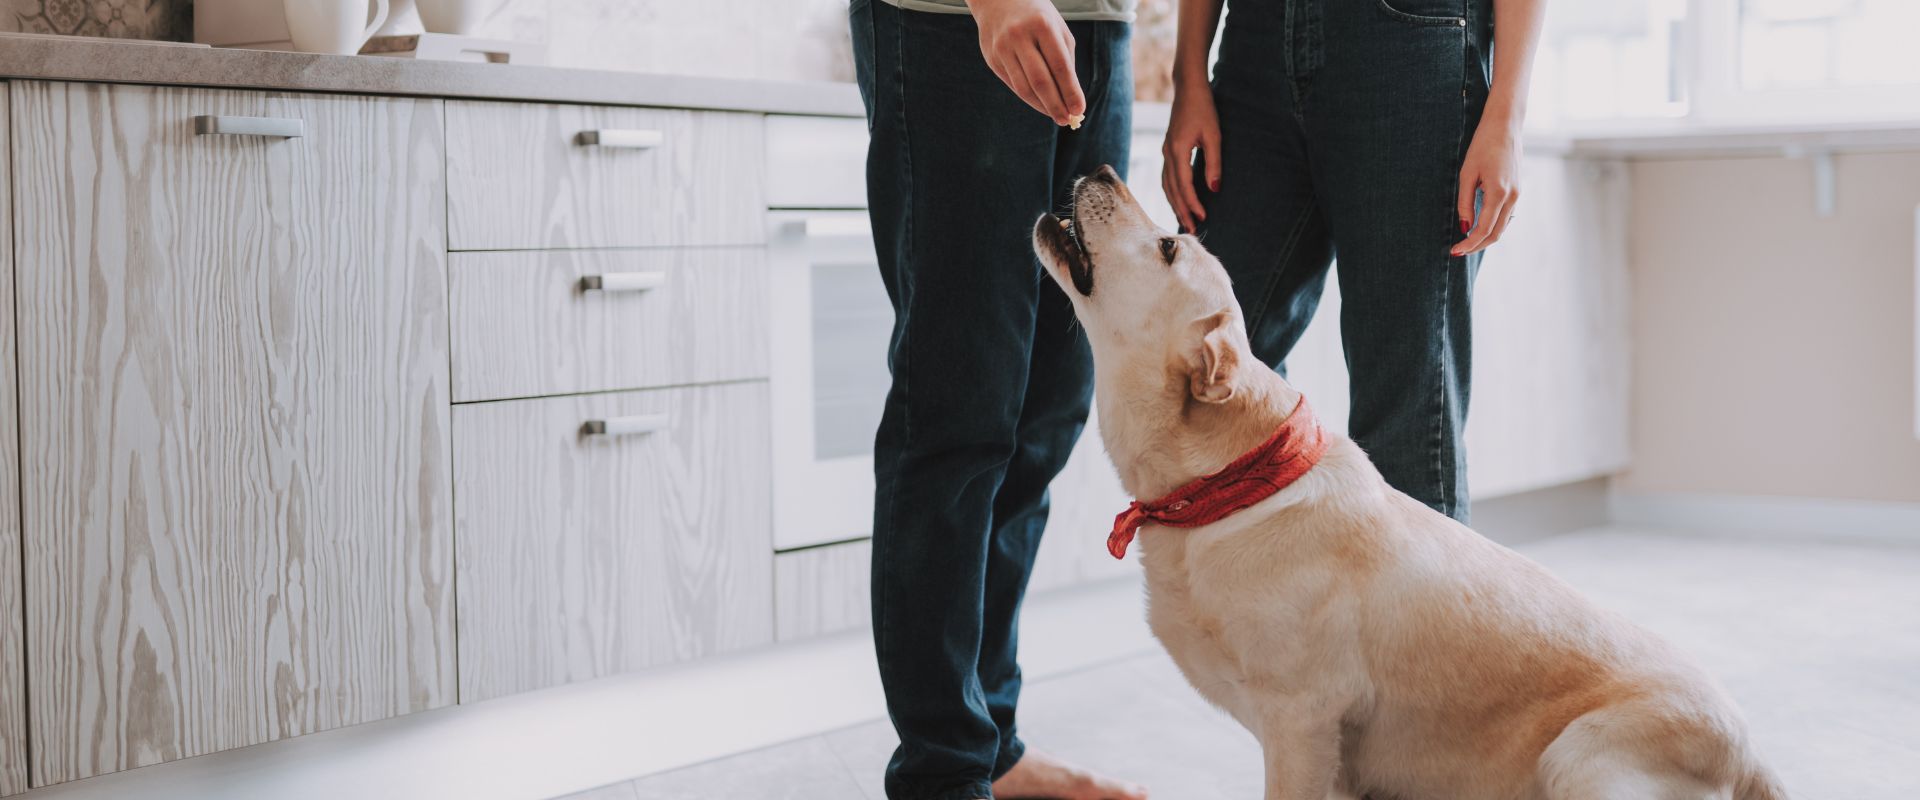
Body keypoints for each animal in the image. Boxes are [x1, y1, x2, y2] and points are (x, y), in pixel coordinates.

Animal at [1036, 164, 1781, 798]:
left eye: (1167, 246)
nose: (1102, 169)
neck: (1231, 486)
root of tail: (1754, 758)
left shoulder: (1302, 721)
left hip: (1575, 756)